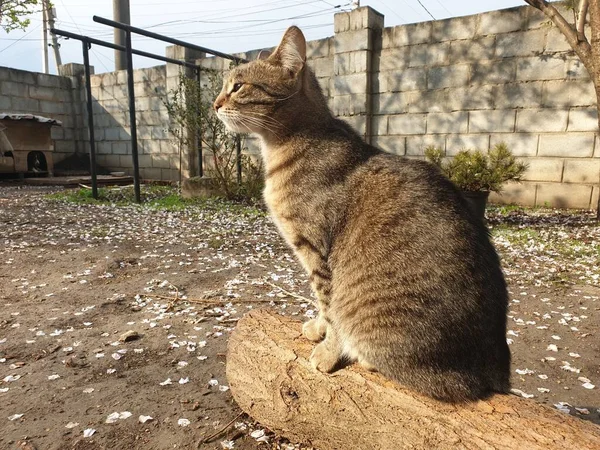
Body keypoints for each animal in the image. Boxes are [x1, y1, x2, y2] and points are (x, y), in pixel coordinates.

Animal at [213, 26, 508, 402]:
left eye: (238, 86)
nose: (214, 104)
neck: (284, 145)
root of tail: (496, 365)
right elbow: (322, 305)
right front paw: (318, 329)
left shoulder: (317, 252)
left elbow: (329, 305)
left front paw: (328, 350)